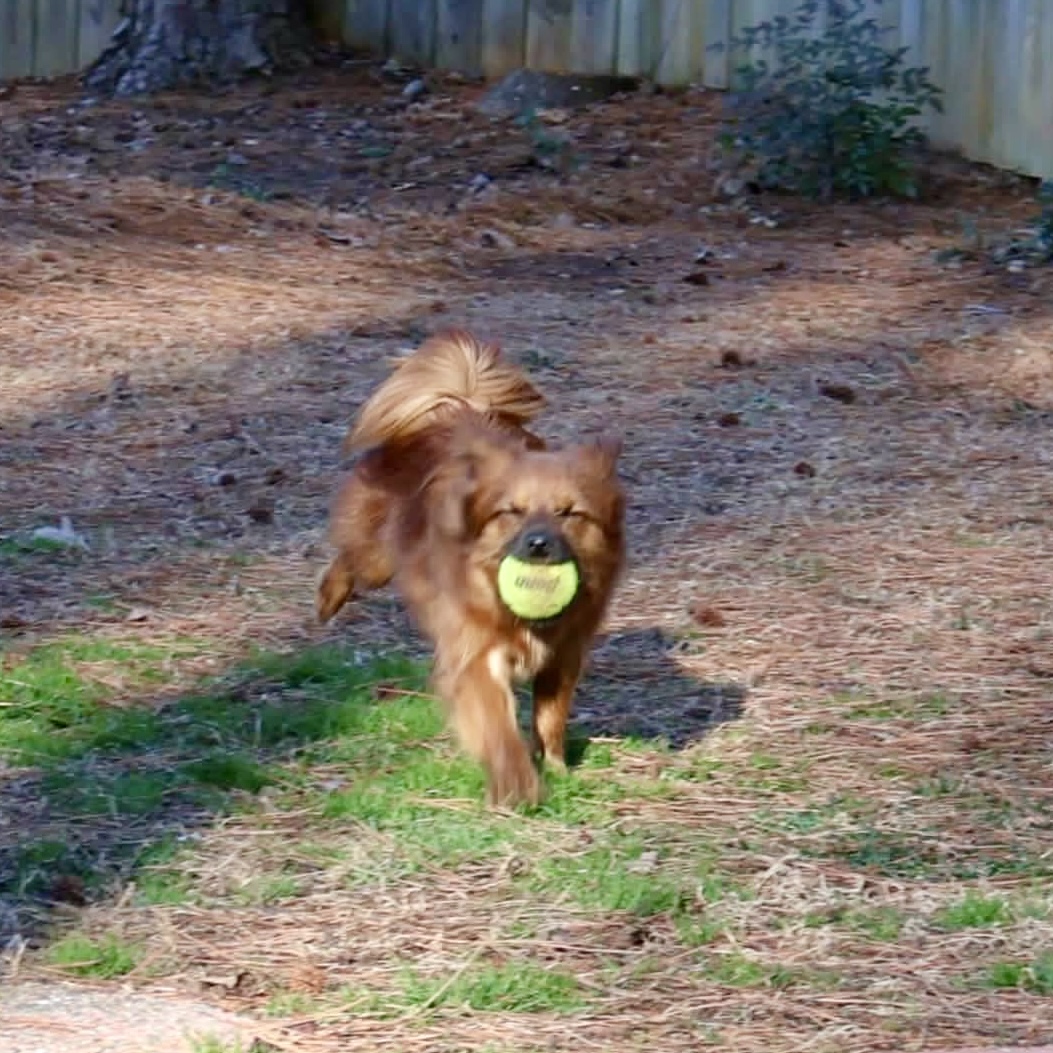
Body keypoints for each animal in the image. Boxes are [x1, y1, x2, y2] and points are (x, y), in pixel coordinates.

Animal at [316, 330, 626, 807]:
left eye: (569, 513)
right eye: (512, 512)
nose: (538, 545)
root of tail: (455, 405)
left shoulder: (564, 655)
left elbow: (550, 718)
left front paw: (556, 766)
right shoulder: (476, 658)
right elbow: (498, 731)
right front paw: (517, 785)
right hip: (378, 559)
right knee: (350, 560)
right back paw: (328, 599)